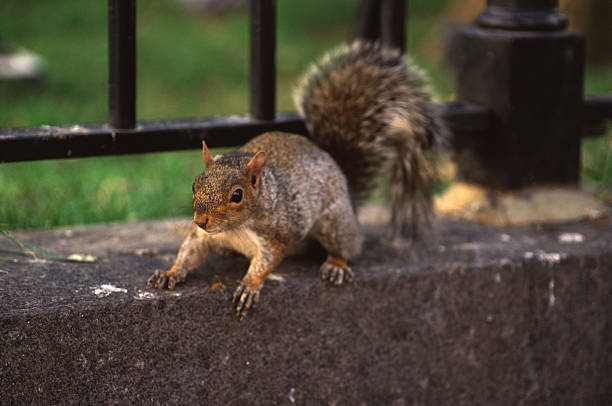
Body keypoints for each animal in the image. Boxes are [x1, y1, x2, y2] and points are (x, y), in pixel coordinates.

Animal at [147, 41, 444, 320]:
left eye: (237, 195)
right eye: (194, 185)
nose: (201, 220)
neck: (234, 229)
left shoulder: (275, 234)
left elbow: (266, 263)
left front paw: (249, 286)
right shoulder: (202, 236)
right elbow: (189, 251)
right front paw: (171, 272)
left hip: (333, 223)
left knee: (347, 245)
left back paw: (336, 264)